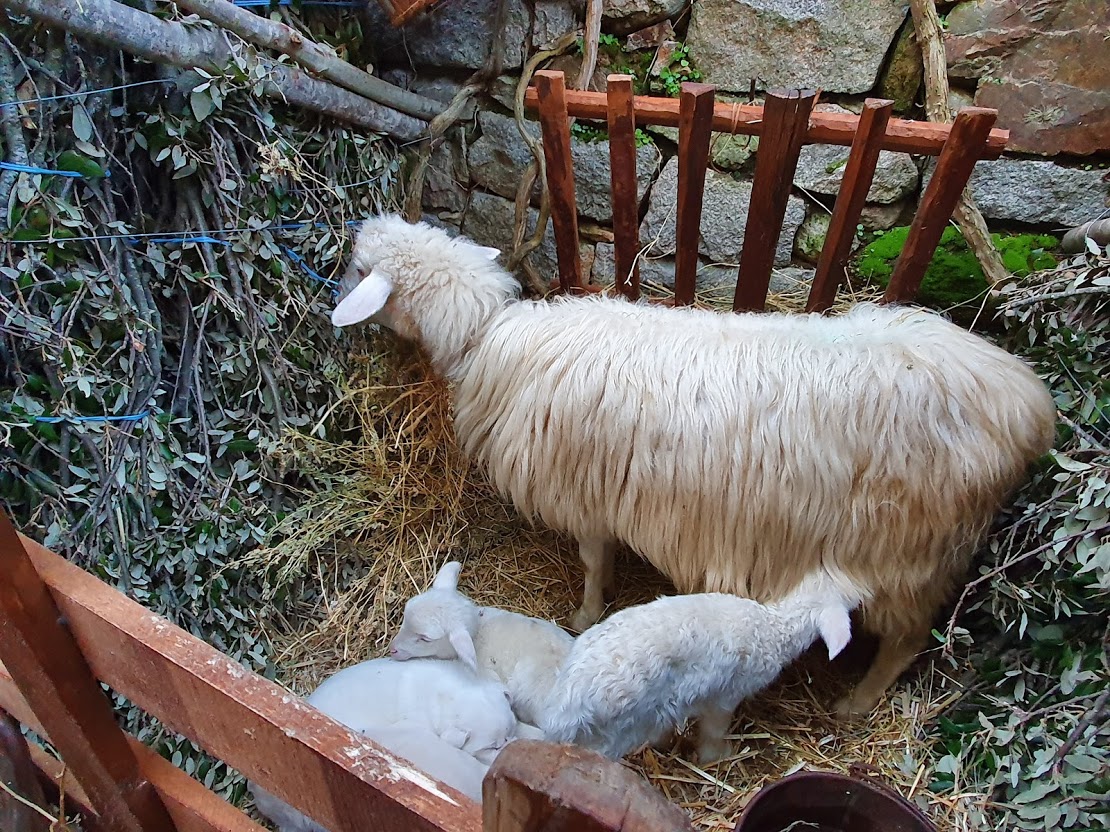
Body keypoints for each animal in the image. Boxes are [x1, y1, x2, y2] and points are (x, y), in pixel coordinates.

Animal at [541, 569, 866, 763]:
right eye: (846, 600)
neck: (774, 627)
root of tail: (566, 704)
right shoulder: (725, 695)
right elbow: (714, 729)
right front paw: (718, 755)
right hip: (611, 732)